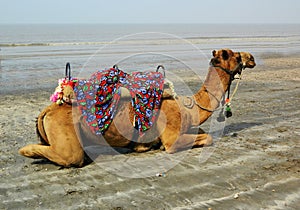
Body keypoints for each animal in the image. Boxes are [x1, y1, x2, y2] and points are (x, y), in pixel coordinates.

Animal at [18, 49, 255, 167]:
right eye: (235, 55)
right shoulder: (172, 137)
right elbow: (208, 138)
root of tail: (48, 109)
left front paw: (142, 146)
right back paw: (29, 152)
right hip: (65, 134)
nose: (251, 58)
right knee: (69, 156)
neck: (189, 108)